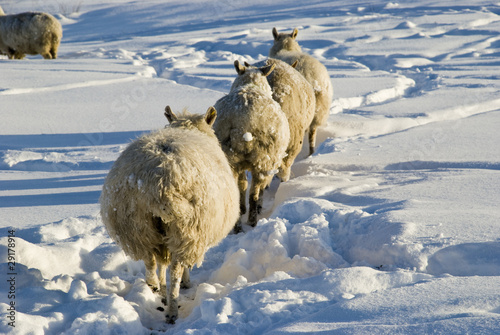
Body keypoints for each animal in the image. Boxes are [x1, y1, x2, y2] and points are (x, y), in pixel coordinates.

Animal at [100, 106, 240, 324]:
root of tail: (159, 183)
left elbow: (160, 264)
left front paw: (161, 284)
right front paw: (185, 282)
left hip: (137, 228)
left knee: (149, 259)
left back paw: (154, 286)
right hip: (187, 230)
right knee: (175, 270)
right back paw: (172, 308)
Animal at [213, 59, 292, 228]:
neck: (251, 85)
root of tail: (242, 121)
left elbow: (242, 185)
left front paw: (242, 209)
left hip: (231, 158)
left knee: (238, 190)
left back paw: (237, 224)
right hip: (263, 158)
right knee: (254, 191)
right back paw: (252, 221)